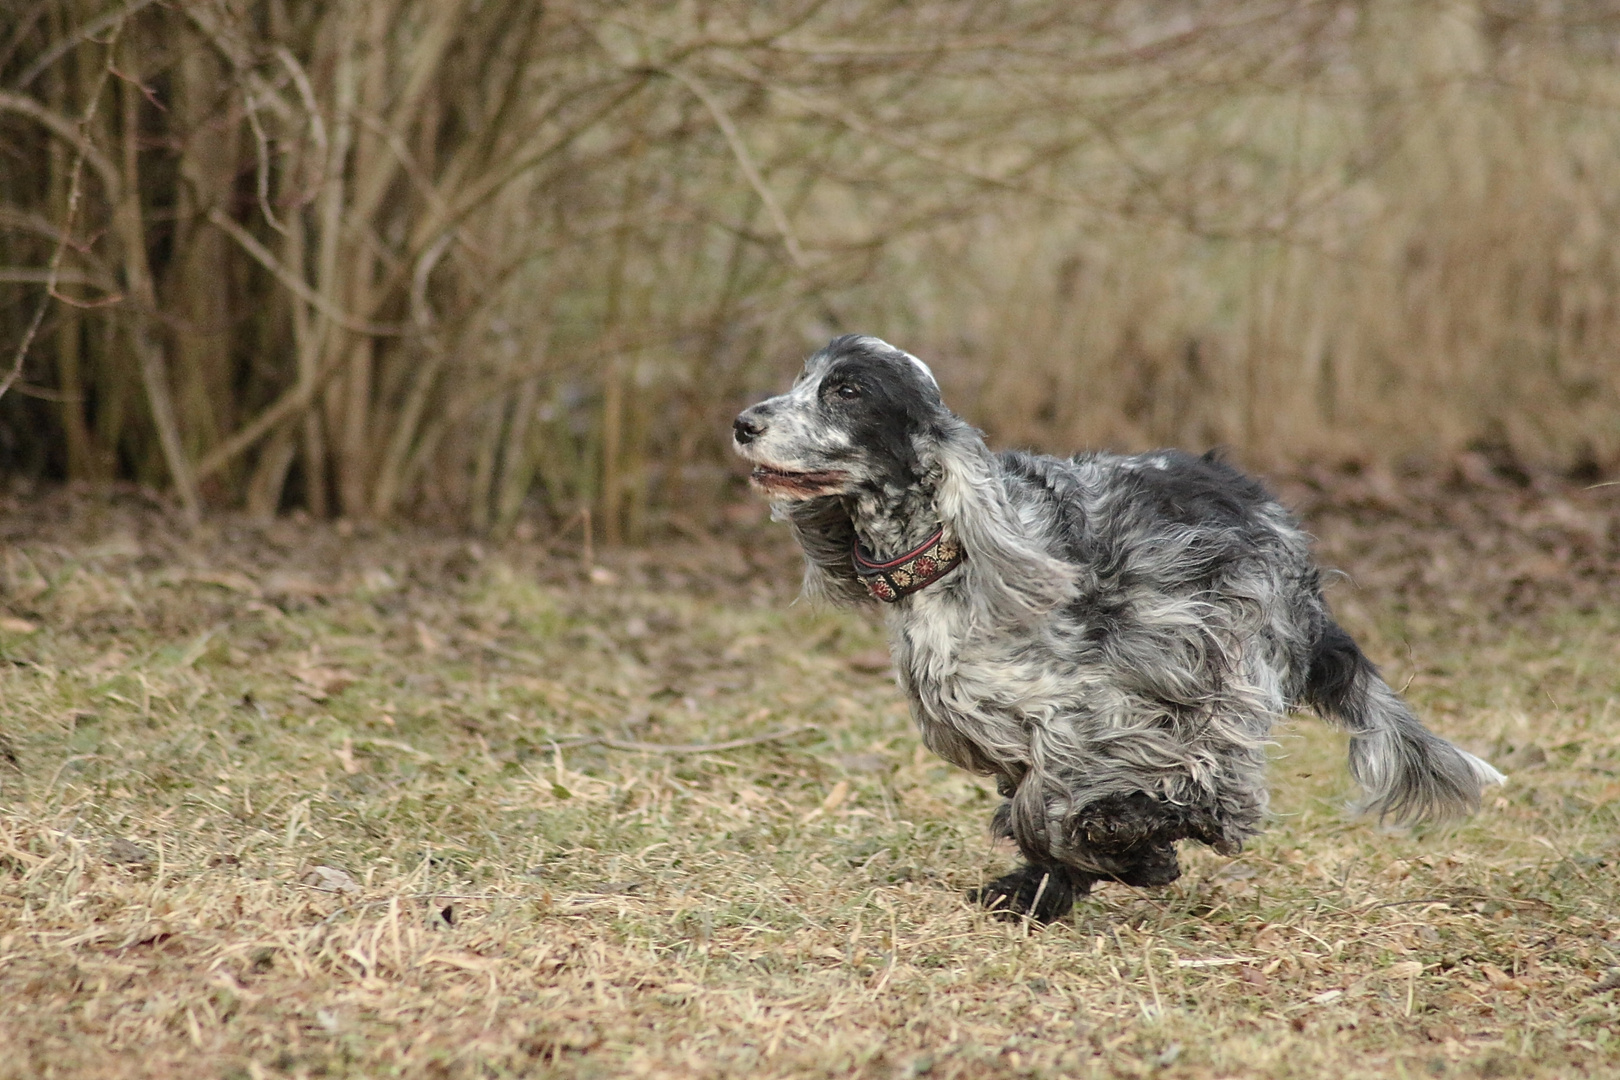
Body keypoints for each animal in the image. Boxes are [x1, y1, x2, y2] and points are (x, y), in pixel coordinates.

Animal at [735, 335, 1503, 919]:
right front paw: (1056, 884)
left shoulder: (1093, 710)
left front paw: (1130, 849)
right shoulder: (1002, 725)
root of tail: (1281, 528)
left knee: (1227, 789)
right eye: (801, 380)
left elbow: (1063, 800)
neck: (955, 549)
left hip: (1224, 664)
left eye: (846, 392)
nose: (744, 422)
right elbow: (1037, 810)